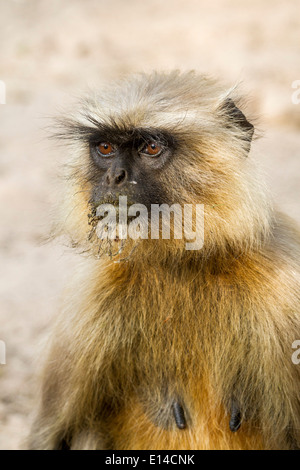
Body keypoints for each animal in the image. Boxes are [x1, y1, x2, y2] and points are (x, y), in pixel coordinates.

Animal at [28, 71, 300, 450]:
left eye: (151, 148)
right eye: (105, 148)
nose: (114, 177)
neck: (184, 263)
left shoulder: (286, 290)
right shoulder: (89, 298)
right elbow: (50, 436)